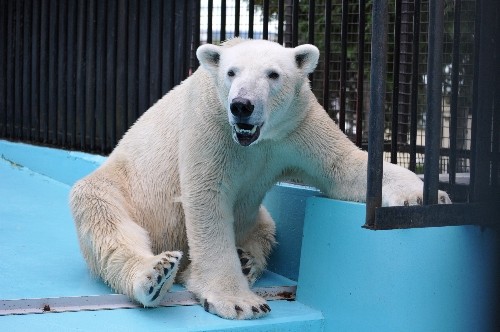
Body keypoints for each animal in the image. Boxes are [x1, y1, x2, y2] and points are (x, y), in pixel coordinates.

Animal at [69, 37, 450, 320]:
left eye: (273, 74)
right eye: (231, 72)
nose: (242, 105)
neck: (256, 138)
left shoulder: (296, 125)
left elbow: (345, 167)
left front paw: (423, 196)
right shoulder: (210, 122)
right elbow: (206, 198)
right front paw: (239, 301)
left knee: (267, 227)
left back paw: (247, 259)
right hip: (120, 187)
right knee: (104, 219)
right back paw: (156, 274)